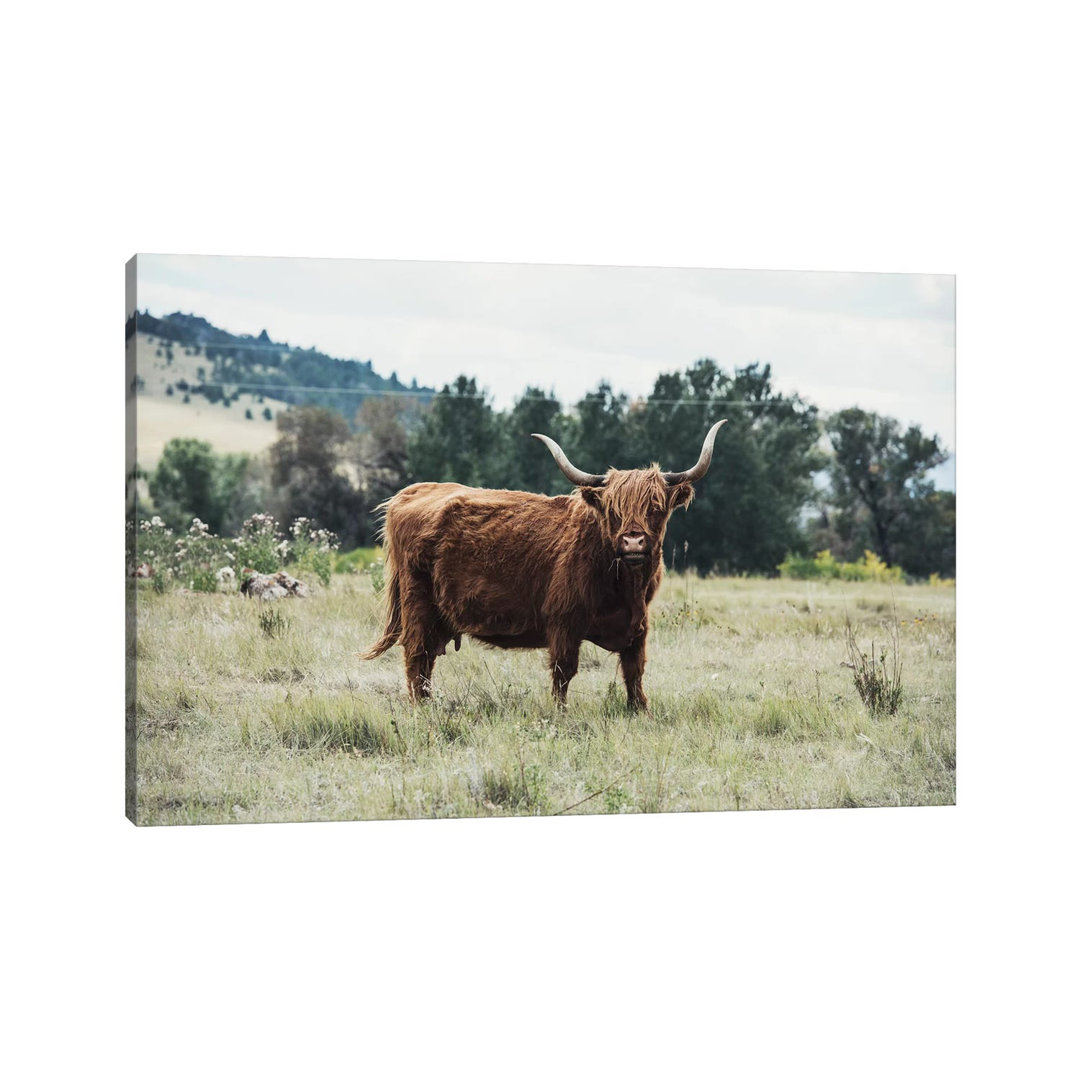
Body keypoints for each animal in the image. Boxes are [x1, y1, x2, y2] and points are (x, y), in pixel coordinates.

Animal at [363, 421, 726, 710]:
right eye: (613, 510)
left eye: (656, 507)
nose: (633, 542)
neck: (624, 587)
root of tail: (410, 492)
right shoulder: (563, 621)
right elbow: (564, 672)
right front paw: (560, 713)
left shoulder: (639, 626)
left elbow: (634, 673)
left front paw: (640, 712)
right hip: (418, 604)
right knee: (416, 657)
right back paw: (423, 708)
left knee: (425, 662)